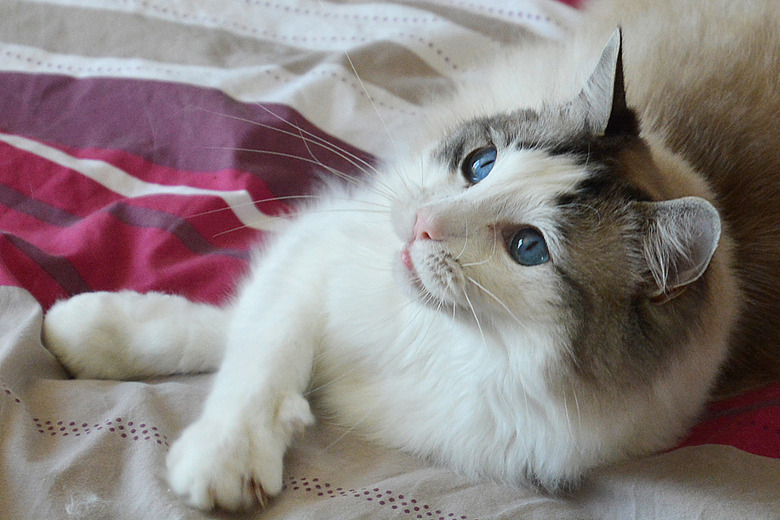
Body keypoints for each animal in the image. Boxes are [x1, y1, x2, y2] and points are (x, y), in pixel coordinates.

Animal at [41, 0, 780, 512]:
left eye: (528, 247)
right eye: (479, 165)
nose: (423, 226)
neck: (439, 339)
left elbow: (251, 347)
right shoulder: (323, 253)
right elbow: (249, 348)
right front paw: (92, 336)